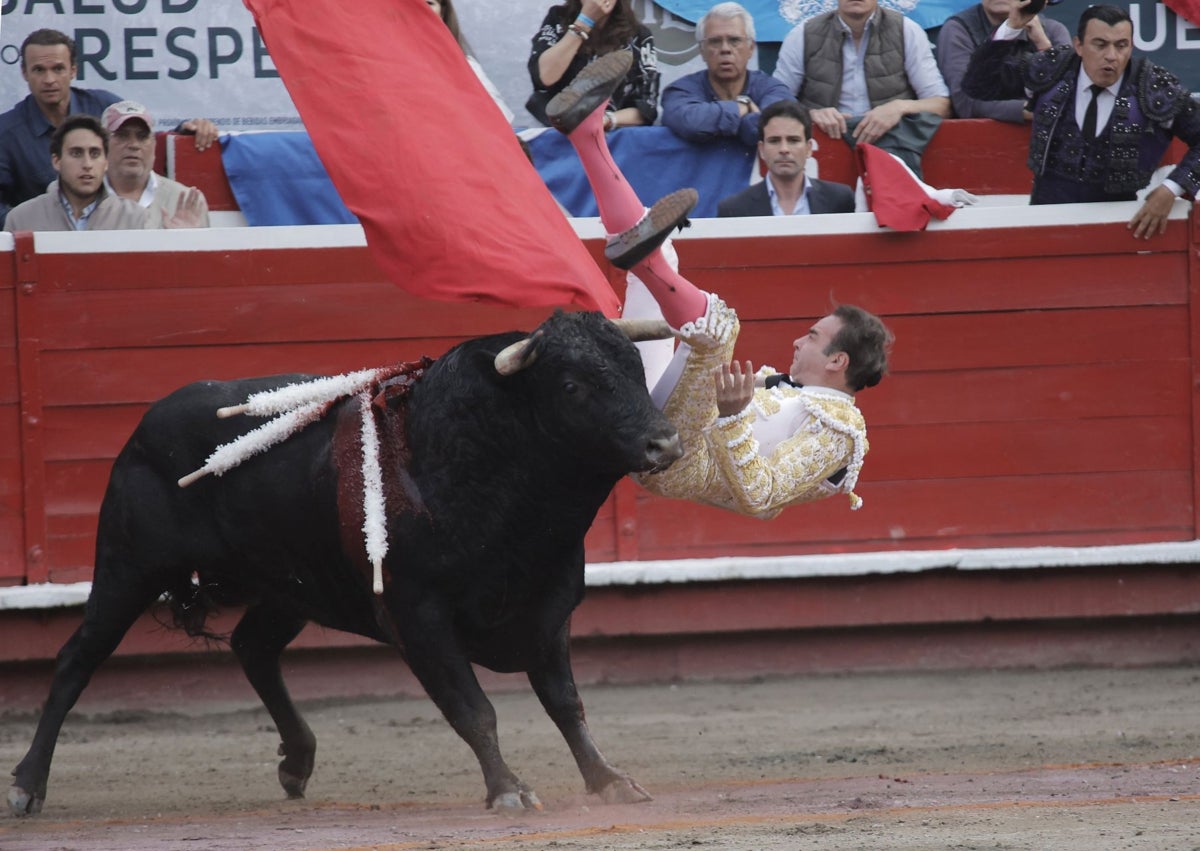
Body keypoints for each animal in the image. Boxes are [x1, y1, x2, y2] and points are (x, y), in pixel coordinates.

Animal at [7, 309, 686, 811]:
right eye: (573, 386)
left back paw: (297, 762)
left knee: (253, 647)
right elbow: (475, 709)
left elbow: (566, 704)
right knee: (76, 660)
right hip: (127, 570)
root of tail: (144, 426)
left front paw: (609, 781)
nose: (666, 442)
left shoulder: (548, 607)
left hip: (291, 584)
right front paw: (509, 790)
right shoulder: (418, 613)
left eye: (635, 369)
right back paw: (26, 785)